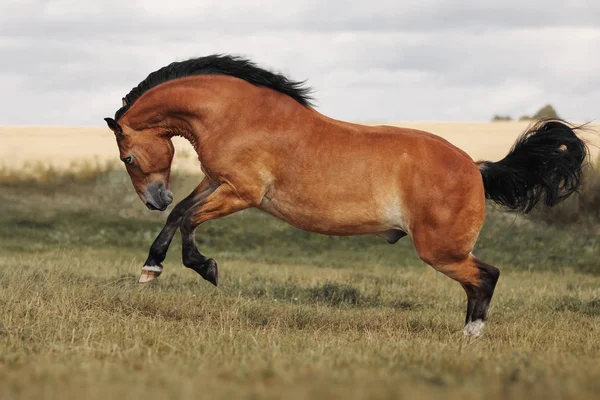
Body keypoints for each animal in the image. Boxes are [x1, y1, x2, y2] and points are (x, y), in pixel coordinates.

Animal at [104, 54, 584, 338]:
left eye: (127, 156)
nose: (154, 199)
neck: (237, 115)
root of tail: (476, 168)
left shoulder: (242, 192)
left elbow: (188, 220)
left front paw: (206, 268)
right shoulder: (214, 182)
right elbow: (180, 216)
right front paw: (150, 269)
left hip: (441, 250)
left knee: (487, 276)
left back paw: (471, 337)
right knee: (482, 279)